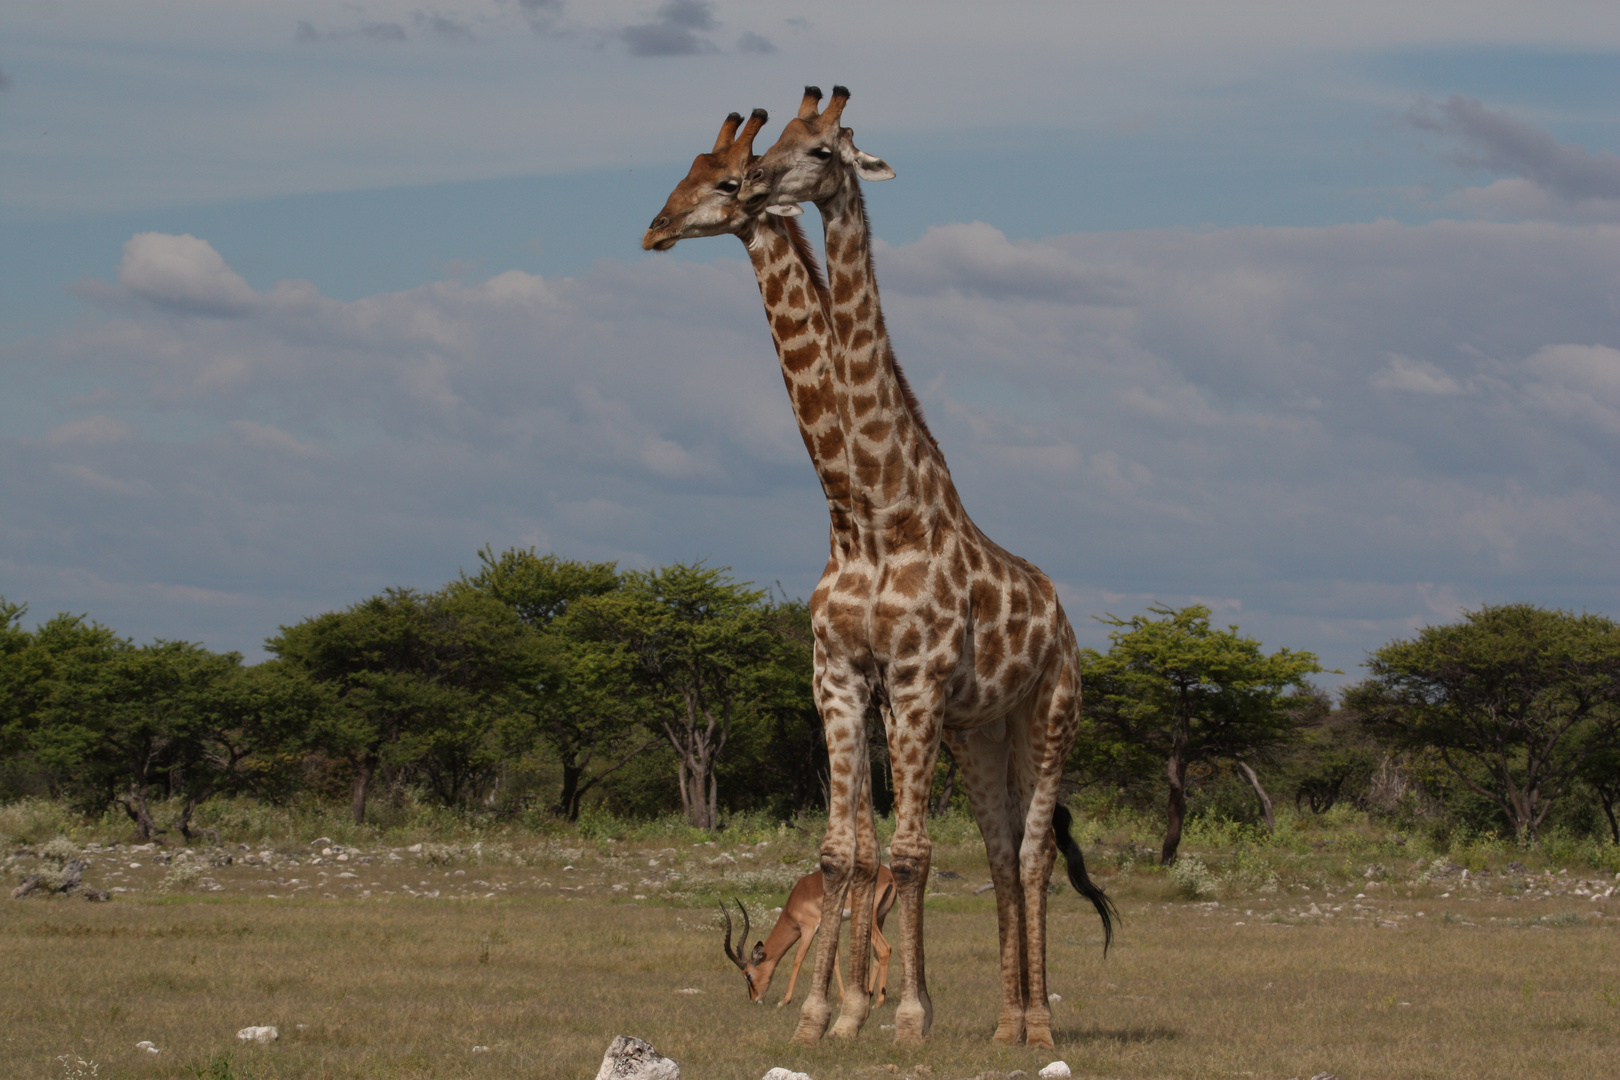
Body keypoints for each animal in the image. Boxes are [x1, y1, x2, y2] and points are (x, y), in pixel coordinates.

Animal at [722, 867, 900, 1010]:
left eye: (748, 975)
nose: (754, 999)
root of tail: (889, 877)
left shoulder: (808, 928)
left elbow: (798, 959)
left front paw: (784, 1000)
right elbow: (834, 960)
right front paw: (841, 1000)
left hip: (869, 921)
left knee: (884, 949)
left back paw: (879, 1002)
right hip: (880, 919)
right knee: (877, 954)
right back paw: (867, 995)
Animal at [741, 88, 1114, 1049]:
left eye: (821, 149)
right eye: (779, 136)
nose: (748, 183)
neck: (879, 525)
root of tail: (1065, 622)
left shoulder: (908, 679)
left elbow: (906, 853)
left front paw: (903, 1016)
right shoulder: (845, 674)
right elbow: (849, 849)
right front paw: (833, 1017)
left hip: (1051, 715)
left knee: (1032, 854)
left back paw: (1037, 1025)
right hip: (980, 731)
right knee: (1001, 848)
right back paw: (1009, 1022)